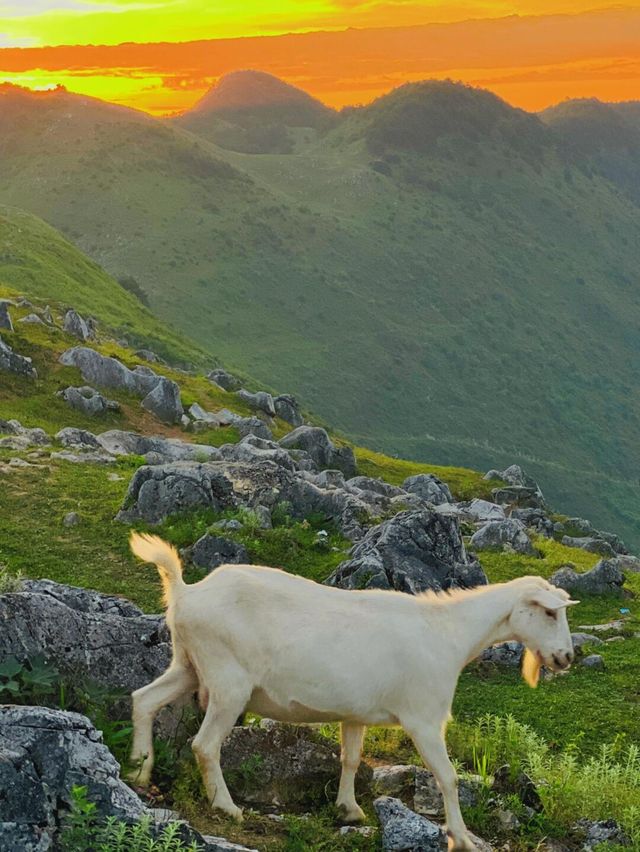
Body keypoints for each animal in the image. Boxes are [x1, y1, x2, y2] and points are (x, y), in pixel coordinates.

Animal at [127, 532, 576, 852]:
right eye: (550, 612)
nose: (567, 657)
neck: (449, 633)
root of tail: (186, 592)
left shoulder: (356, 713)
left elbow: (351, 759)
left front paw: (349, 809)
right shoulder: (424, 718)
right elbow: (447, 777)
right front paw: (461, 838)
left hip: (187, 664)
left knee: (143, 700)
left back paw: (138, 769)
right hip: (227, 681)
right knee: (204, 745)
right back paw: (225, 805)